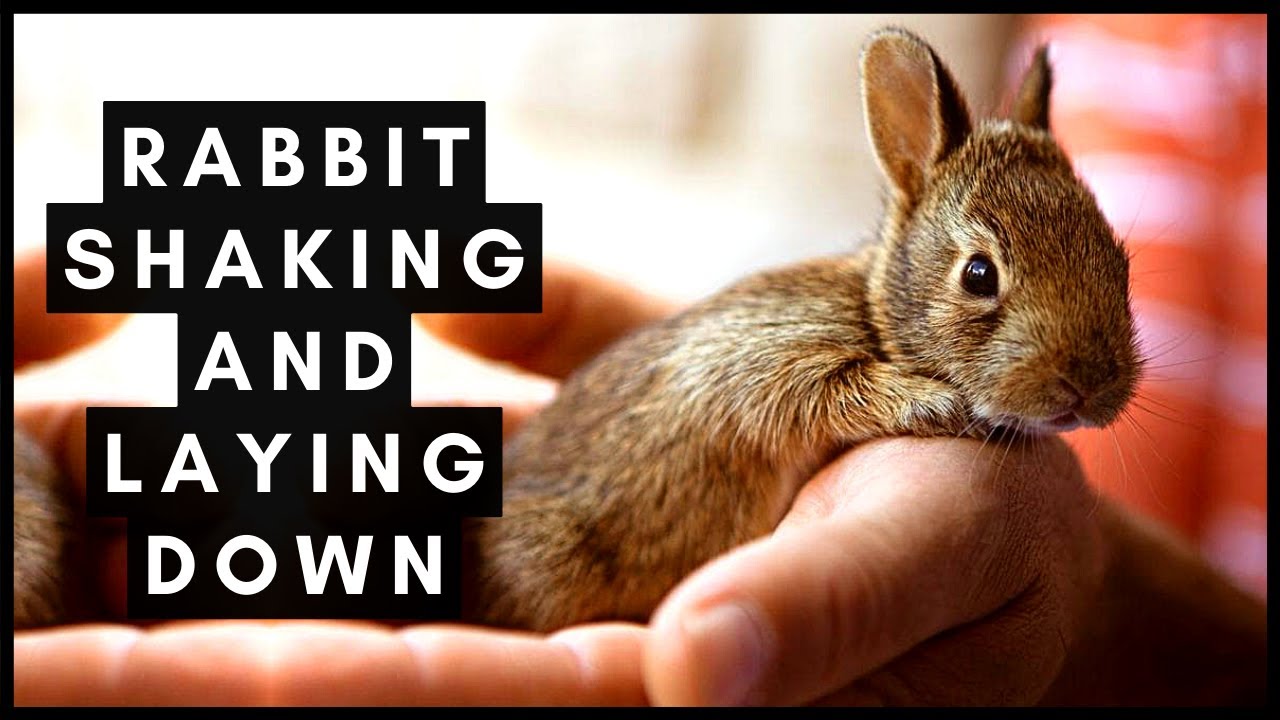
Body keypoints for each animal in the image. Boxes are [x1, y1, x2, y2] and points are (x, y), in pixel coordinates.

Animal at [459, 27, 1141, 632]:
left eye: (1120, 263)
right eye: (978, 274)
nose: (1087, 386)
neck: (874, 315)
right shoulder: (765, 362)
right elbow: (818, 392)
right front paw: (936, 403)